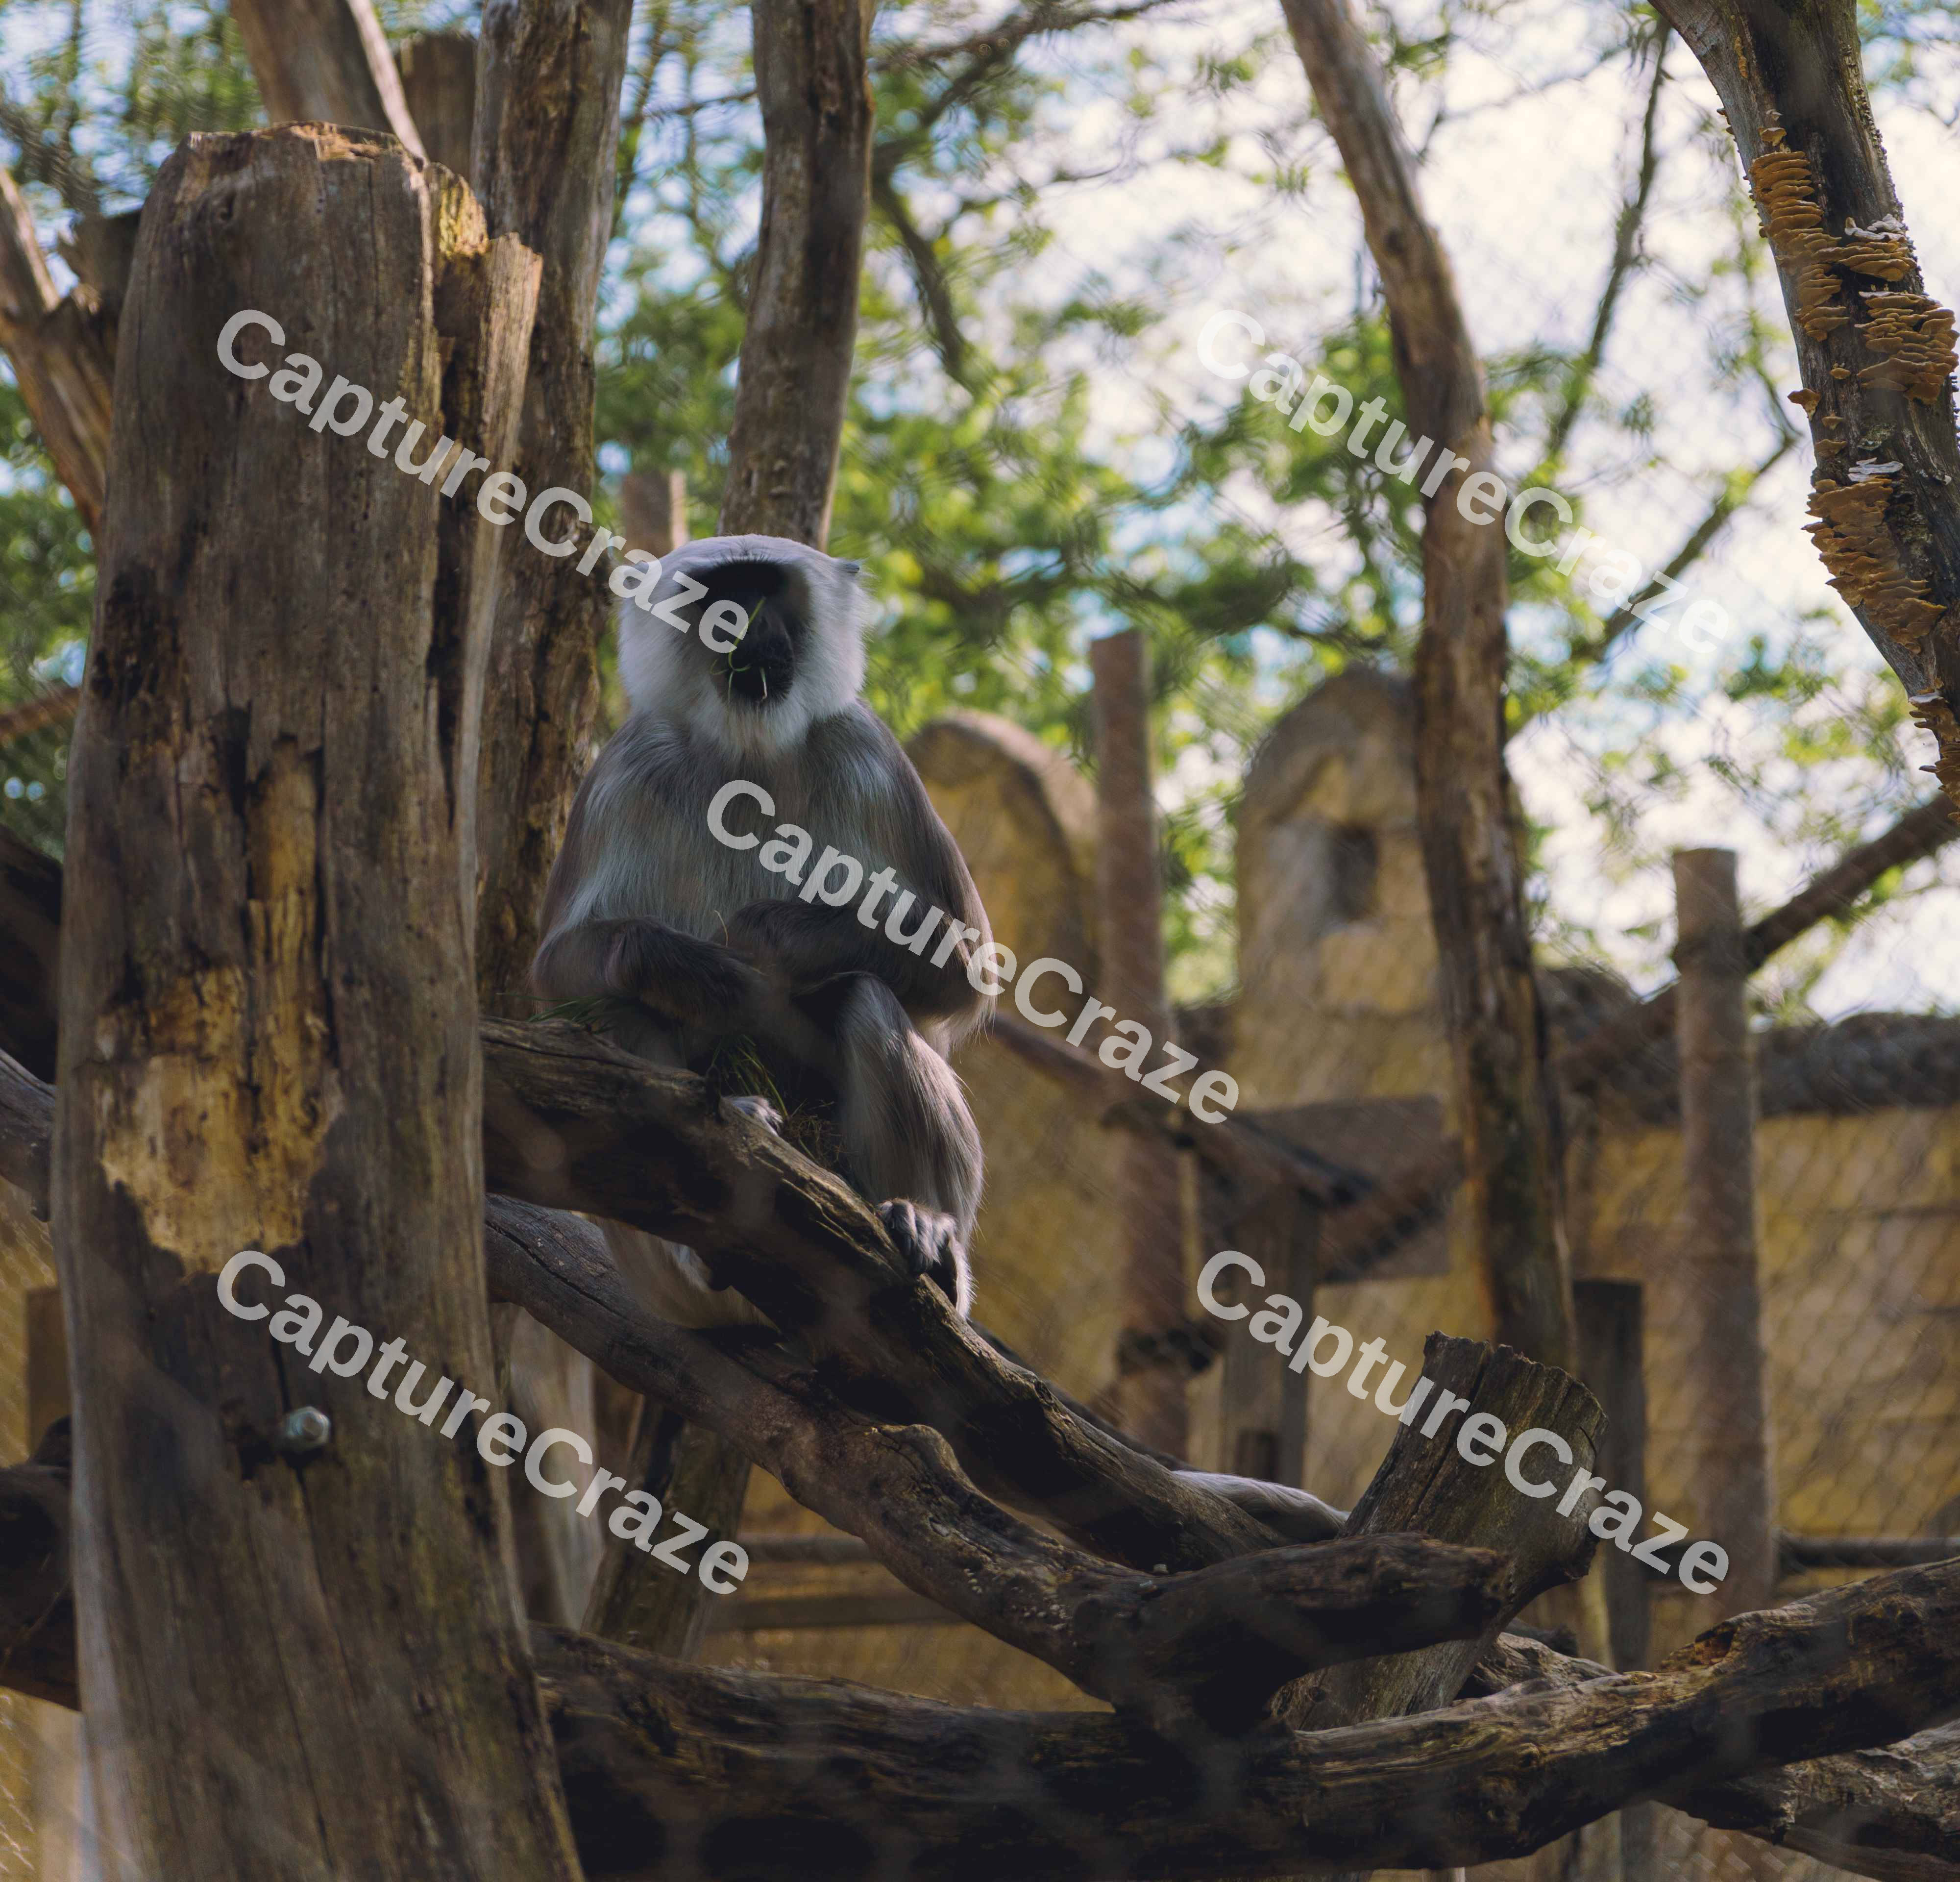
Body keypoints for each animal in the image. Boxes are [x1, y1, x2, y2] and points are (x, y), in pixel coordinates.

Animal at [531, 533, 988, 1329]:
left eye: (769, 589)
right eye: (723, 593)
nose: (748, 625)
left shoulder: (865, 749)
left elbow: (959, 961)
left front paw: (767, 937)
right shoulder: (627, 766)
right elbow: (558, 975)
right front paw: (679, 963)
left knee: (865, 996)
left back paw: (926, 1235)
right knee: (613, 1009)